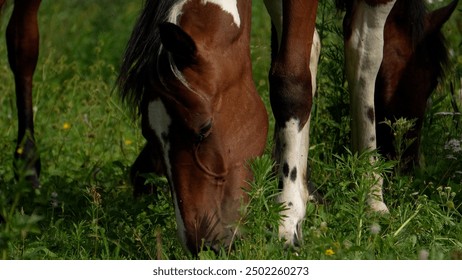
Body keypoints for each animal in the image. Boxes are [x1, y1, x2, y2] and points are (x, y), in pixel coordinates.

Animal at [117, 0, 456, 253]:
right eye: (149, 135)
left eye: (203, 128)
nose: (199, 244)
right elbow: (299, 54)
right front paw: (296, 192)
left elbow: (294, 79)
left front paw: (289, 215)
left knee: (363, 50)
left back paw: (370, 193)